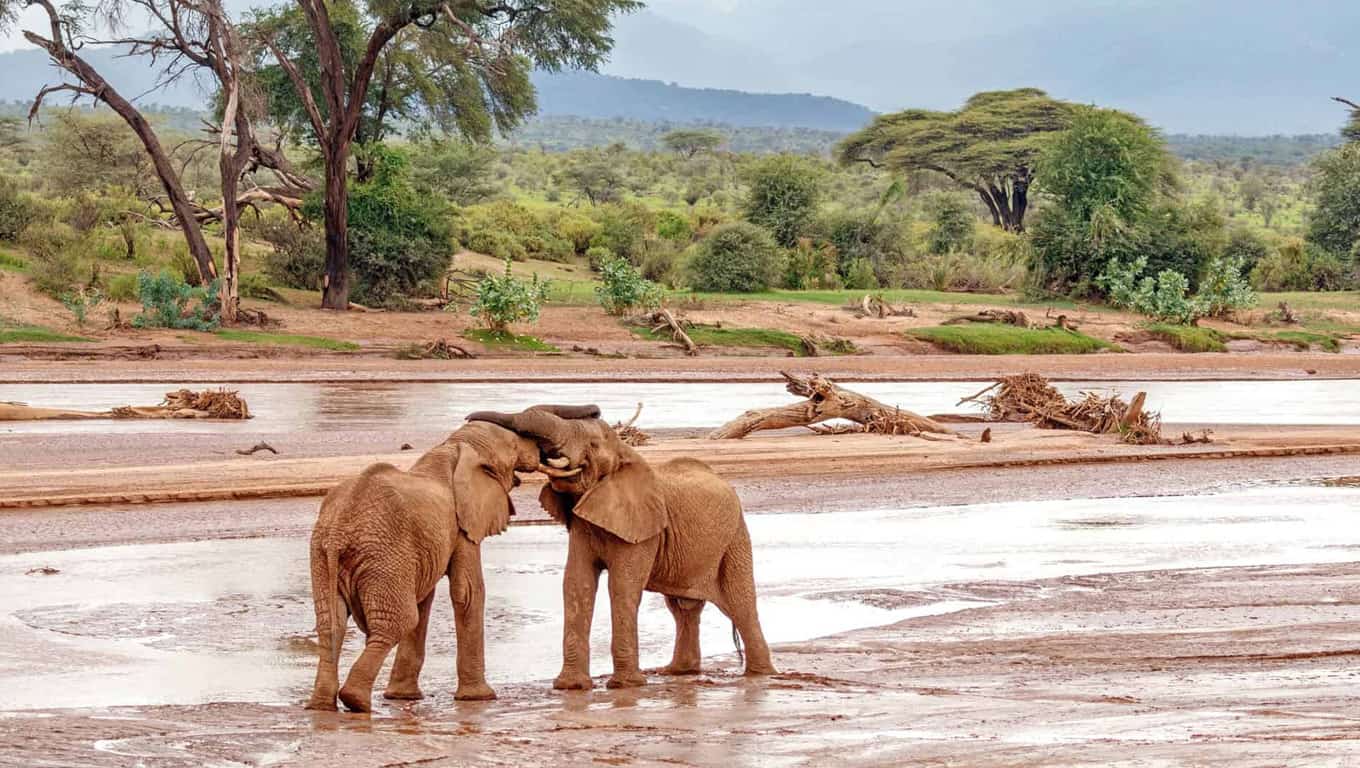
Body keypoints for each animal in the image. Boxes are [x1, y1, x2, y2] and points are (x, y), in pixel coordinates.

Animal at [311, 410, 601, 712]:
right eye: (513, 447)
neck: (456, 445)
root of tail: (339, 532)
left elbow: (426, 597)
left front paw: (404, 697)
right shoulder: (462, 524)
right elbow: (468, 591)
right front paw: (480, 699)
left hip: (329, 556)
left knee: (331, 623)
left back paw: (322, 705)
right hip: (381, 555)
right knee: (397, 622)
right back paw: (354, 700)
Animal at [465, 405, 777, 685]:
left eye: (592, 445)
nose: (468, 419)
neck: (624, 455)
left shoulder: (643, 527)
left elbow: (622, 585)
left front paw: (625, 685)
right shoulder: (582, 524)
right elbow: (577, 584)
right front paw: (570, 686)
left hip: (735, 537)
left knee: (740, 602)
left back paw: (760, 675)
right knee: (682, 609)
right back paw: (678, 672)